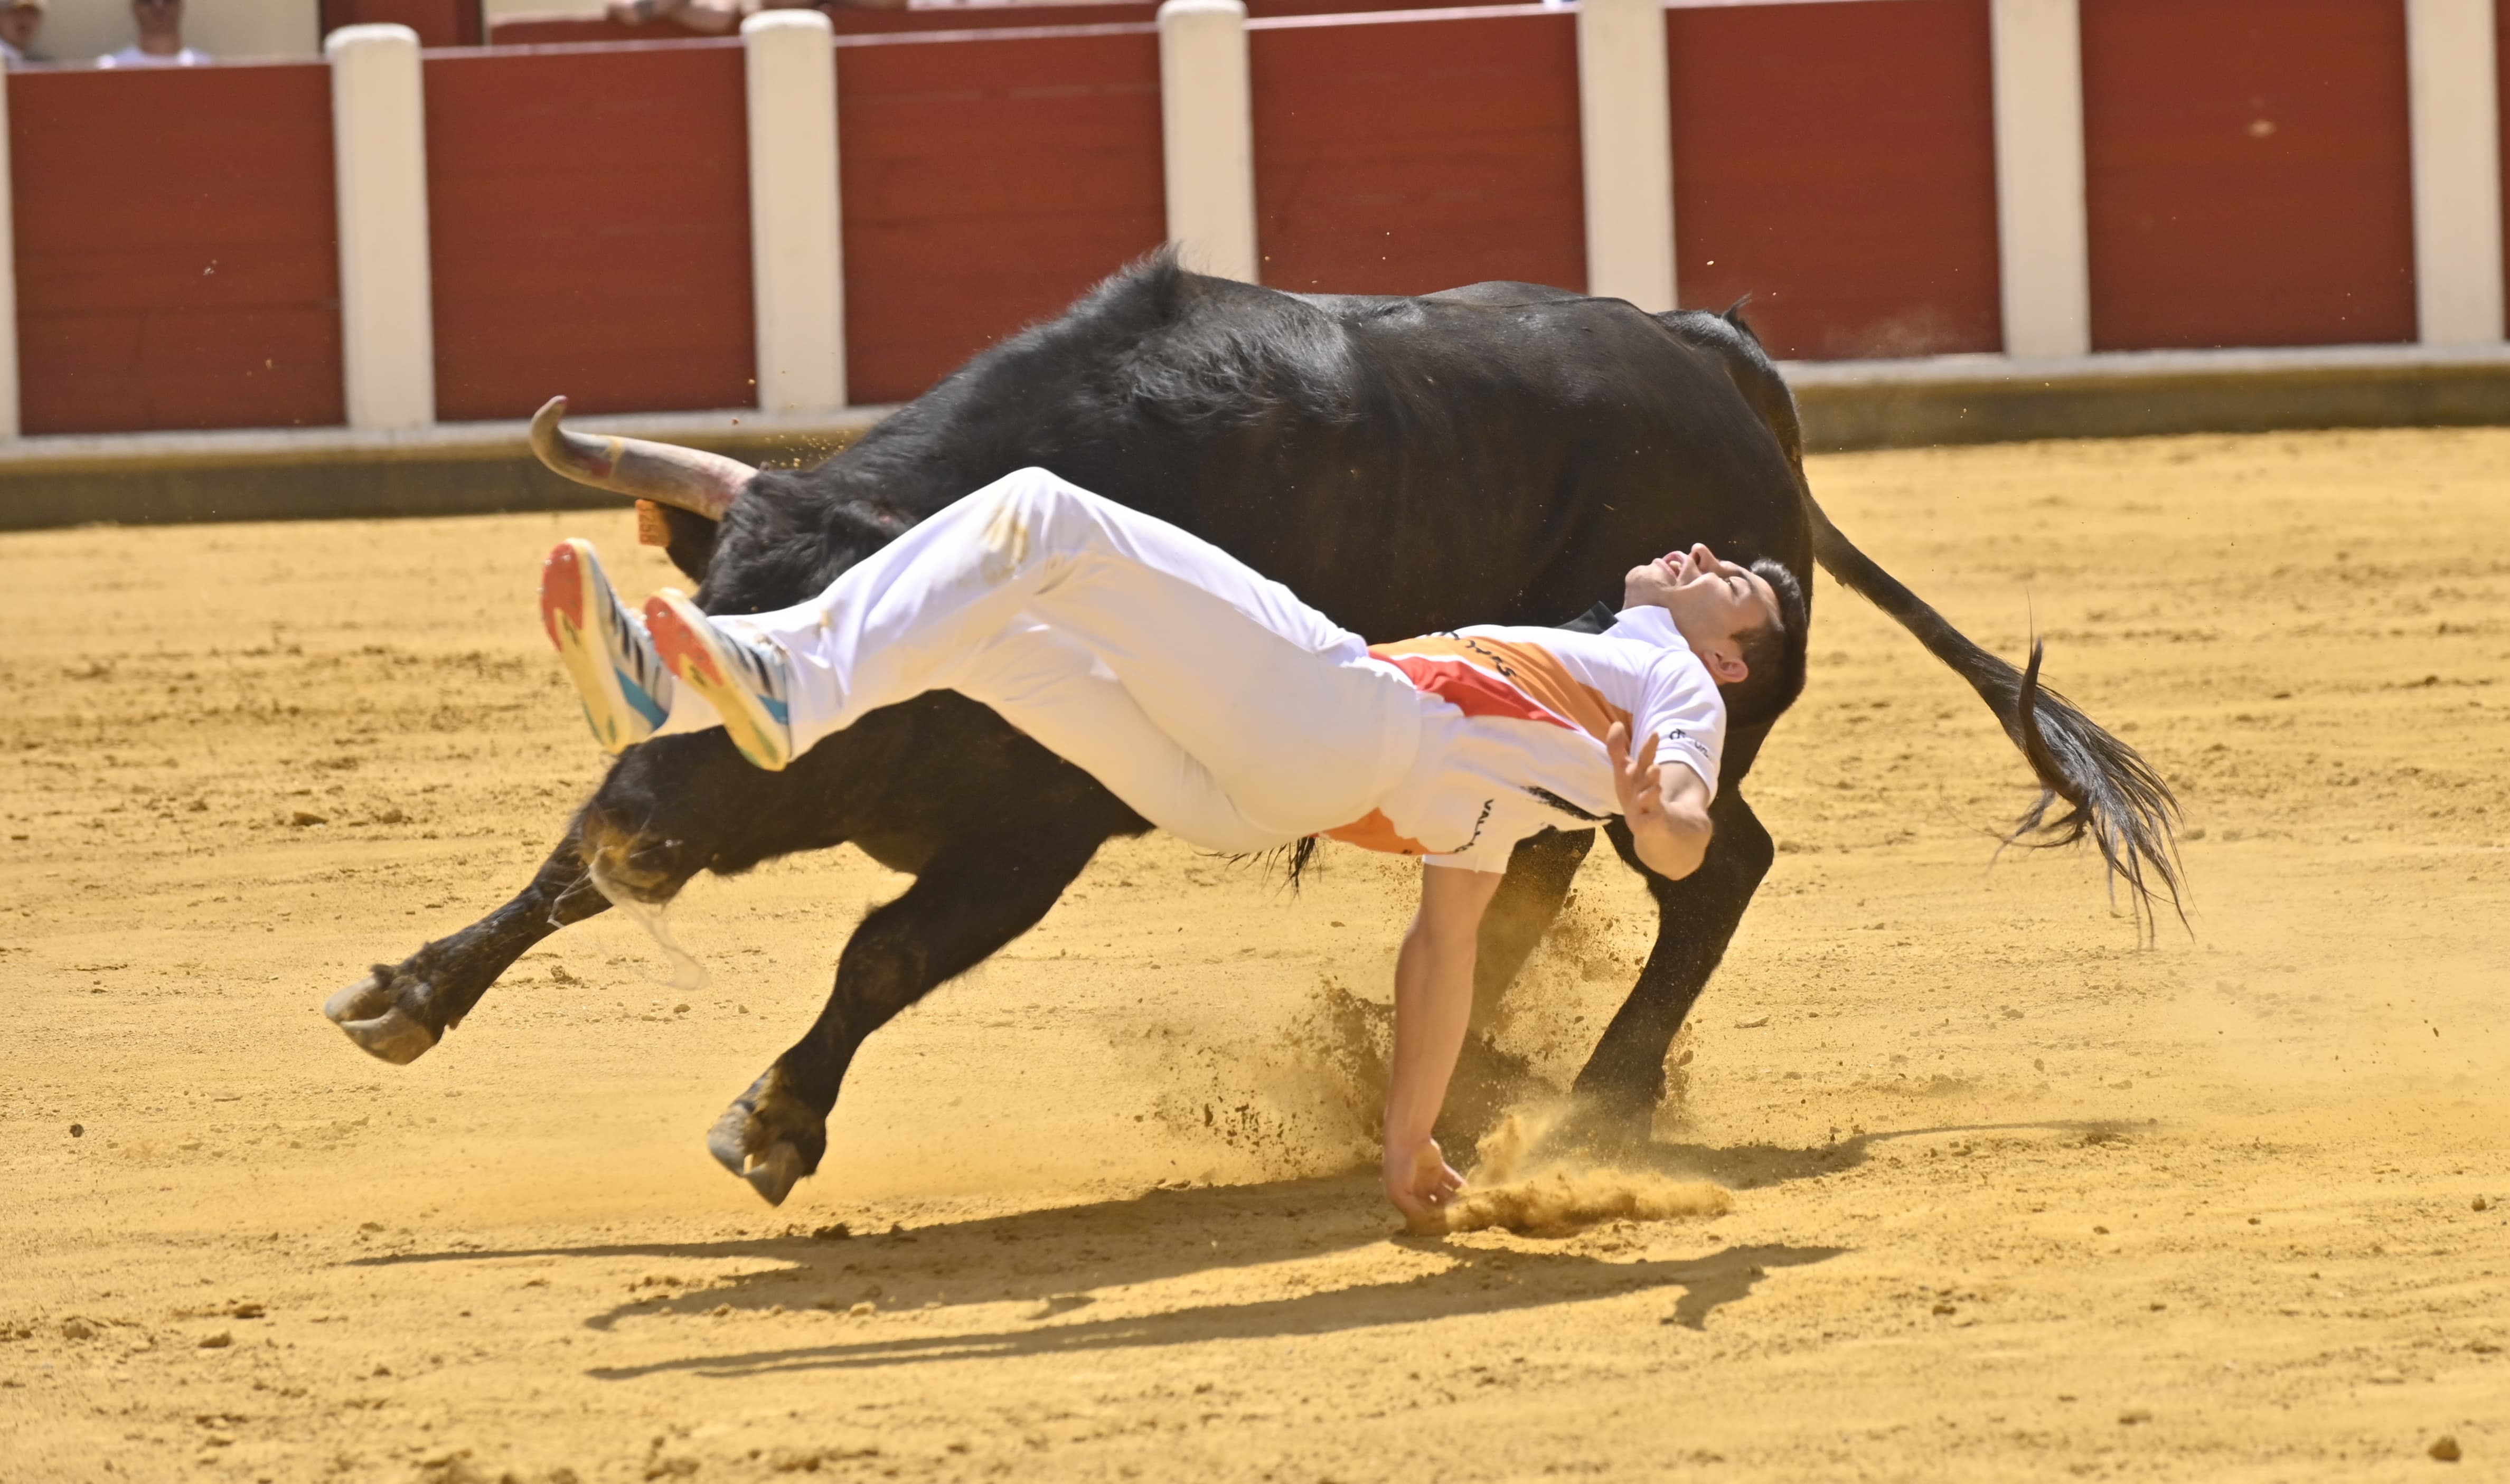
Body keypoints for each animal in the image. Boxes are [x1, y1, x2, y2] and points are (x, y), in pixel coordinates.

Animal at [318, 258, 2178, 1205]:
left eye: (832, 679)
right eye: (691, 629)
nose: (644, 828)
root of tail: (1712, 355)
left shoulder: (1037, 835)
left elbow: (881, 953)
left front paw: (777, 1125)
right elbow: (561, 873)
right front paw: (405, 991)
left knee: (1714, 871)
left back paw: (1590, 1101)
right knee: (1539, 881)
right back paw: (1463, 1077)